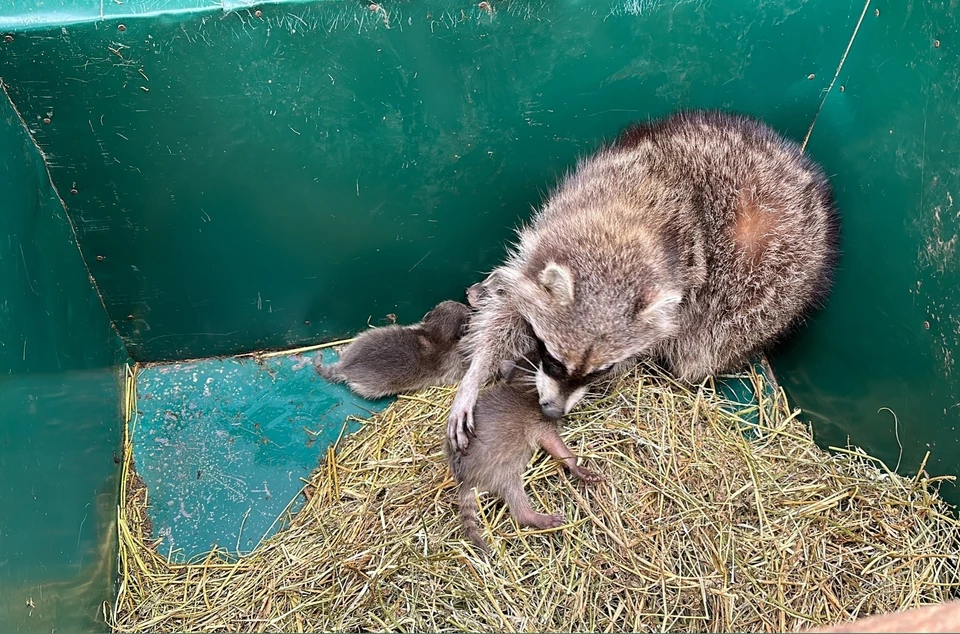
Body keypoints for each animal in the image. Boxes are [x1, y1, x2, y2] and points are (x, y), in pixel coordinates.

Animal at [318, 298, 472, 398]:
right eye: (465, 311)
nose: (465, 305)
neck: (435, 335)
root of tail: (344, 367)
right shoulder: (452, 364)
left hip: (364, 336)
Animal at [444, 350, 600, 552]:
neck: (520, 381)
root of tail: (464, 481)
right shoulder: (538, 423)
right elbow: (554, 444)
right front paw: (574, 464)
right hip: (499, 469)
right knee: (514, 496)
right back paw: (532, 516)